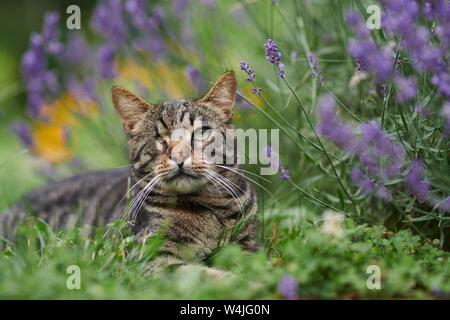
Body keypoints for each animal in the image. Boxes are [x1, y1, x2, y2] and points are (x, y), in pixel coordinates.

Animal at [0, 71, 258, 264]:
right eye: (158, 138)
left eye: (202, 132)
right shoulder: (154, 255)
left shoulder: (248, 247)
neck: (208, 210)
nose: (179, 156)